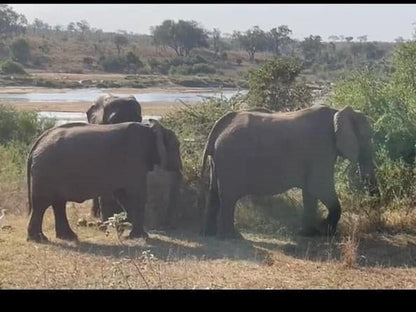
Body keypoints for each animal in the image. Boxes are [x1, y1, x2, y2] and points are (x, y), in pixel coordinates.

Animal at [26, 118, 181, 243]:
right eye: (177, 145)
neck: (150, 128)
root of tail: (37, 143)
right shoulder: (135, 159)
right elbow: (137, 195)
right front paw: (142, 237)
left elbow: (123, 195)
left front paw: (135, 236)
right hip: (46, 171)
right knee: (42, 204)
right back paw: (39, 239)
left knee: (58, 203)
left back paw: (67, 237)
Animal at [200, 105, 378, 239]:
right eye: (369, 136)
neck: (337, 111)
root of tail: (219, 126)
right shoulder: (321, 149)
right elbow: (319, 187)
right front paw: (326, 231)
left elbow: (310, 193)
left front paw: (308, 233)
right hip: (231, 157)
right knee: (229, 197)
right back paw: (231, 237)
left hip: (220, 158)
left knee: (214, 192)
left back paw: (210, 234)